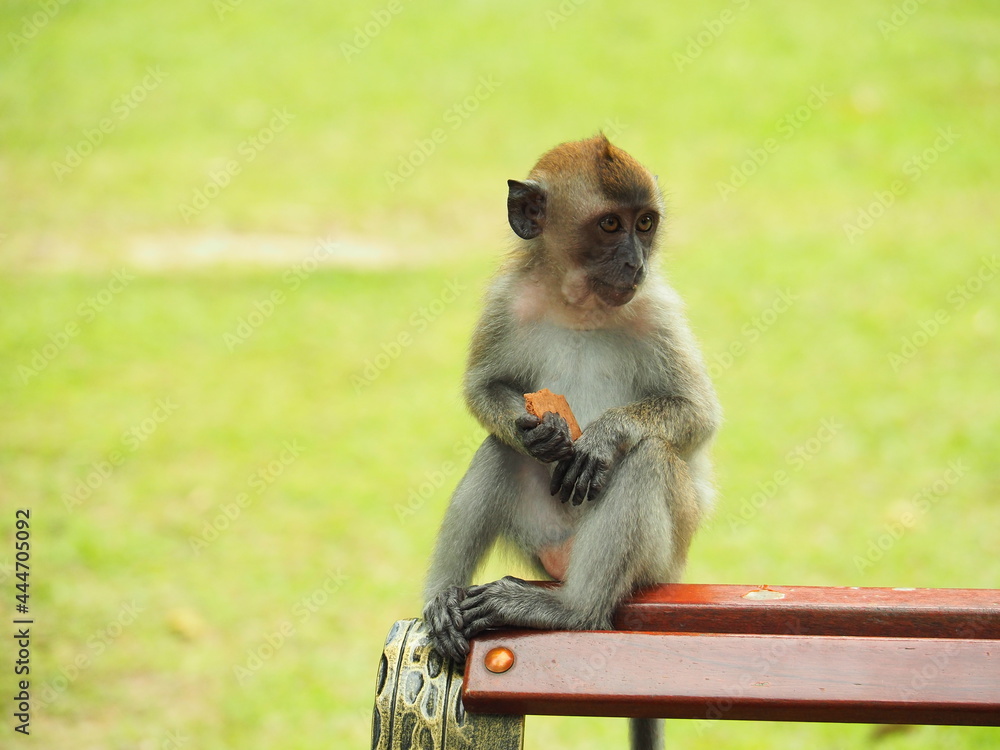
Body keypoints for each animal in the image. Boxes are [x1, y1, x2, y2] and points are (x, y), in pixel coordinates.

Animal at [422, 134, 721, 750]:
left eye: (645, 223)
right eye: (610, 225)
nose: (635, 261)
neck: (580, 301)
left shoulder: (657, 307)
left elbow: (698, 414)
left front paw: (603, 438)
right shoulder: (506, 300)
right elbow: (484, 389)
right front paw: (538, 430)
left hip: (660, 560)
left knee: (650, 458)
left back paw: (571, 611)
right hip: (540, 538)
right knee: (499, 450)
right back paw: (442, 601)